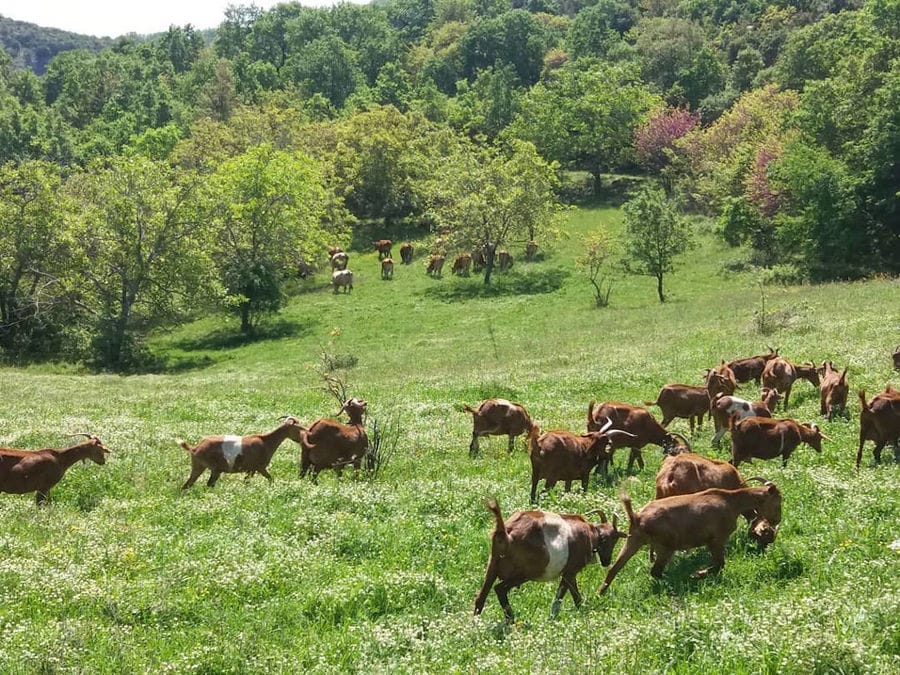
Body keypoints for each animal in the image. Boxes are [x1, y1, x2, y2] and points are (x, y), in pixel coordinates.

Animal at [472, 496, 624, 624]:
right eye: (612, 540)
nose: (607, 561)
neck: (591, 534)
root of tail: (506, 532)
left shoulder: (569, 573)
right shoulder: (570, 572)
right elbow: (563, 597)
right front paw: (556, 618)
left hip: (492, 565)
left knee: (480, 597)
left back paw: (475, 625)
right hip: (526, 573)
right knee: (499, 589)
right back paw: (512, 620)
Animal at [600, 484, 784, 596]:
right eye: (778, 501)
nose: (777, 520)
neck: (731, 502)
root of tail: (637, 517)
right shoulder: (717, 539)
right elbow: (719, 564)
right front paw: (697, 574)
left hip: (633, 541)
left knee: (614, 569)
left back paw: (601, 593)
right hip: (665, 547)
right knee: (655, 571)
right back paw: (679, 582)